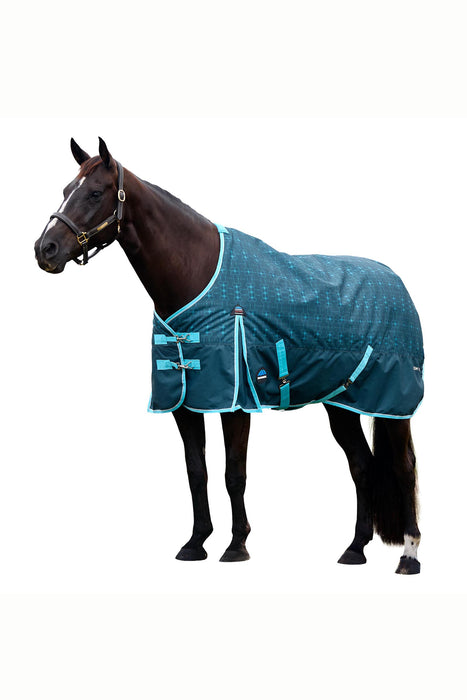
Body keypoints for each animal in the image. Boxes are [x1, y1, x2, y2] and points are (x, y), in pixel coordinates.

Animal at [35, 138, 423, 574]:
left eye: (96, 193)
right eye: (66, 189)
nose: (45, 249)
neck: (196, 275)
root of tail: (397, 284)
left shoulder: (235, 402)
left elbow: (233, 473)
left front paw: (237, 545)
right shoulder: (185, 403)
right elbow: (197, 473)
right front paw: (195, 542)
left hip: (392, 406)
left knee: (404, 468)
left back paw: (409, 555)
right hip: (341, 404)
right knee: (362, 466)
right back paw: (355, 549)